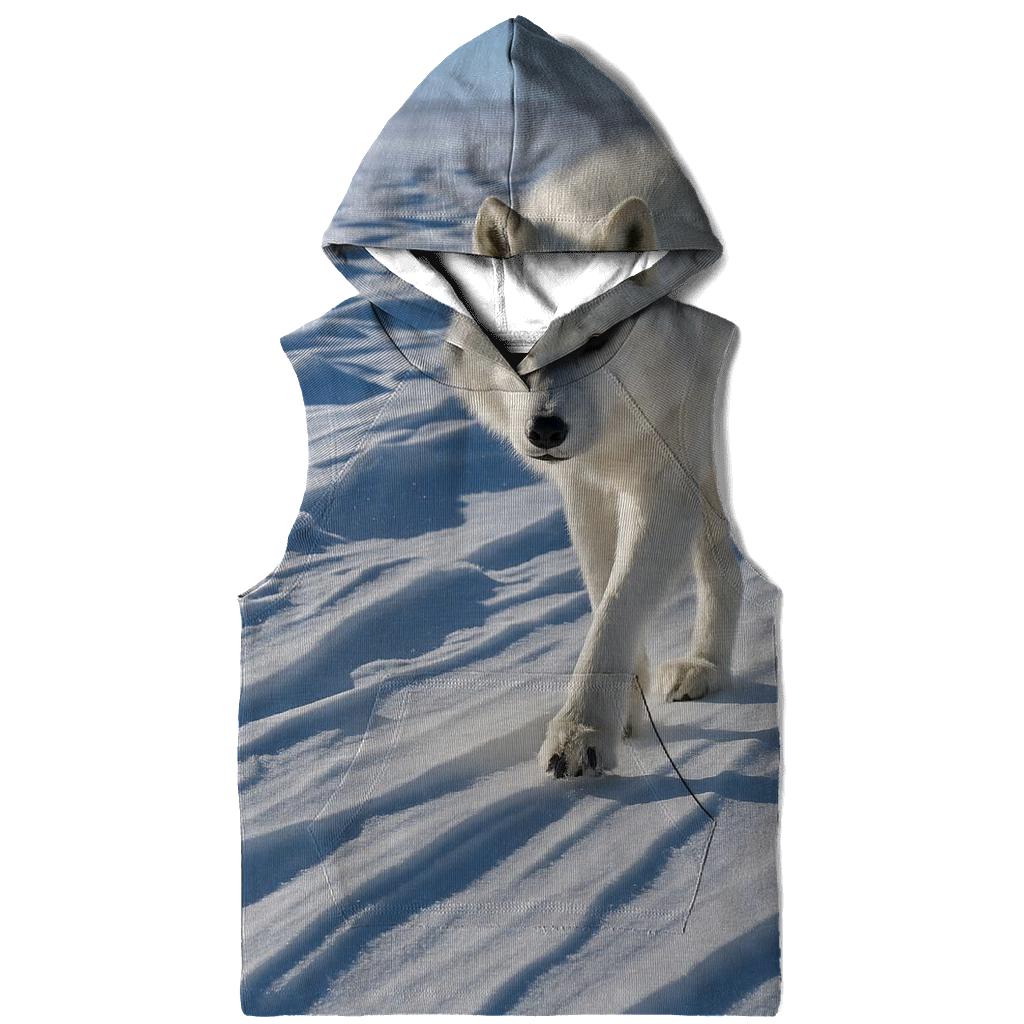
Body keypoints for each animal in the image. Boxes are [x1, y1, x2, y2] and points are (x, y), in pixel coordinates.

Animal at [457, 194, 742, 779]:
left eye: (595, 339)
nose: (545, 431)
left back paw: (704, 666)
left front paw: (580, 733)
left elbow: (615, 608)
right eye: (516, 345)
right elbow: (600, 589)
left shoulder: (664, 480)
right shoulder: (585, 487)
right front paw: (626, 717)